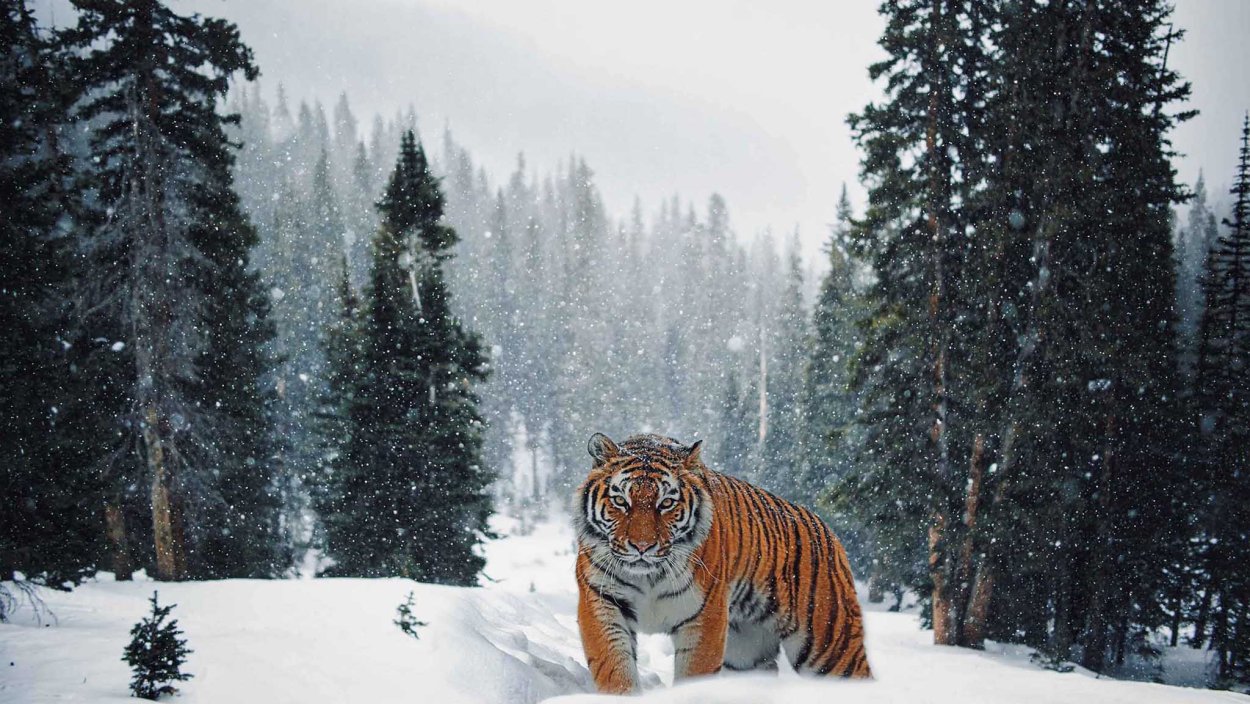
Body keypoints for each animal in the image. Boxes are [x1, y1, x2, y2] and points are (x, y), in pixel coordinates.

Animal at [573, 432, 871, 694]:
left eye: (666, 503)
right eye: (620, 501)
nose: (642, 547)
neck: (648, 576)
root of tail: (826, 528)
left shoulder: (704, 617)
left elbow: (695, 673)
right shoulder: (602, 603)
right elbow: (614, 668)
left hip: (830, 644)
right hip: (746, 652)